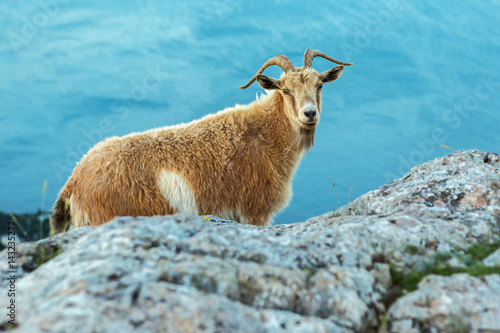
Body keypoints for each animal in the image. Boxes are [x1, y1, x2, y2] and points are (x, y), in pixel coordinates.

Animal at [51, 49, 352, 232]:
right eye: (286, 90)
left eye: (319, 86)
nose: (309, 113)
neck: (265, 135)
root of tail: (72, 184)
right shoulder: (254, 212)